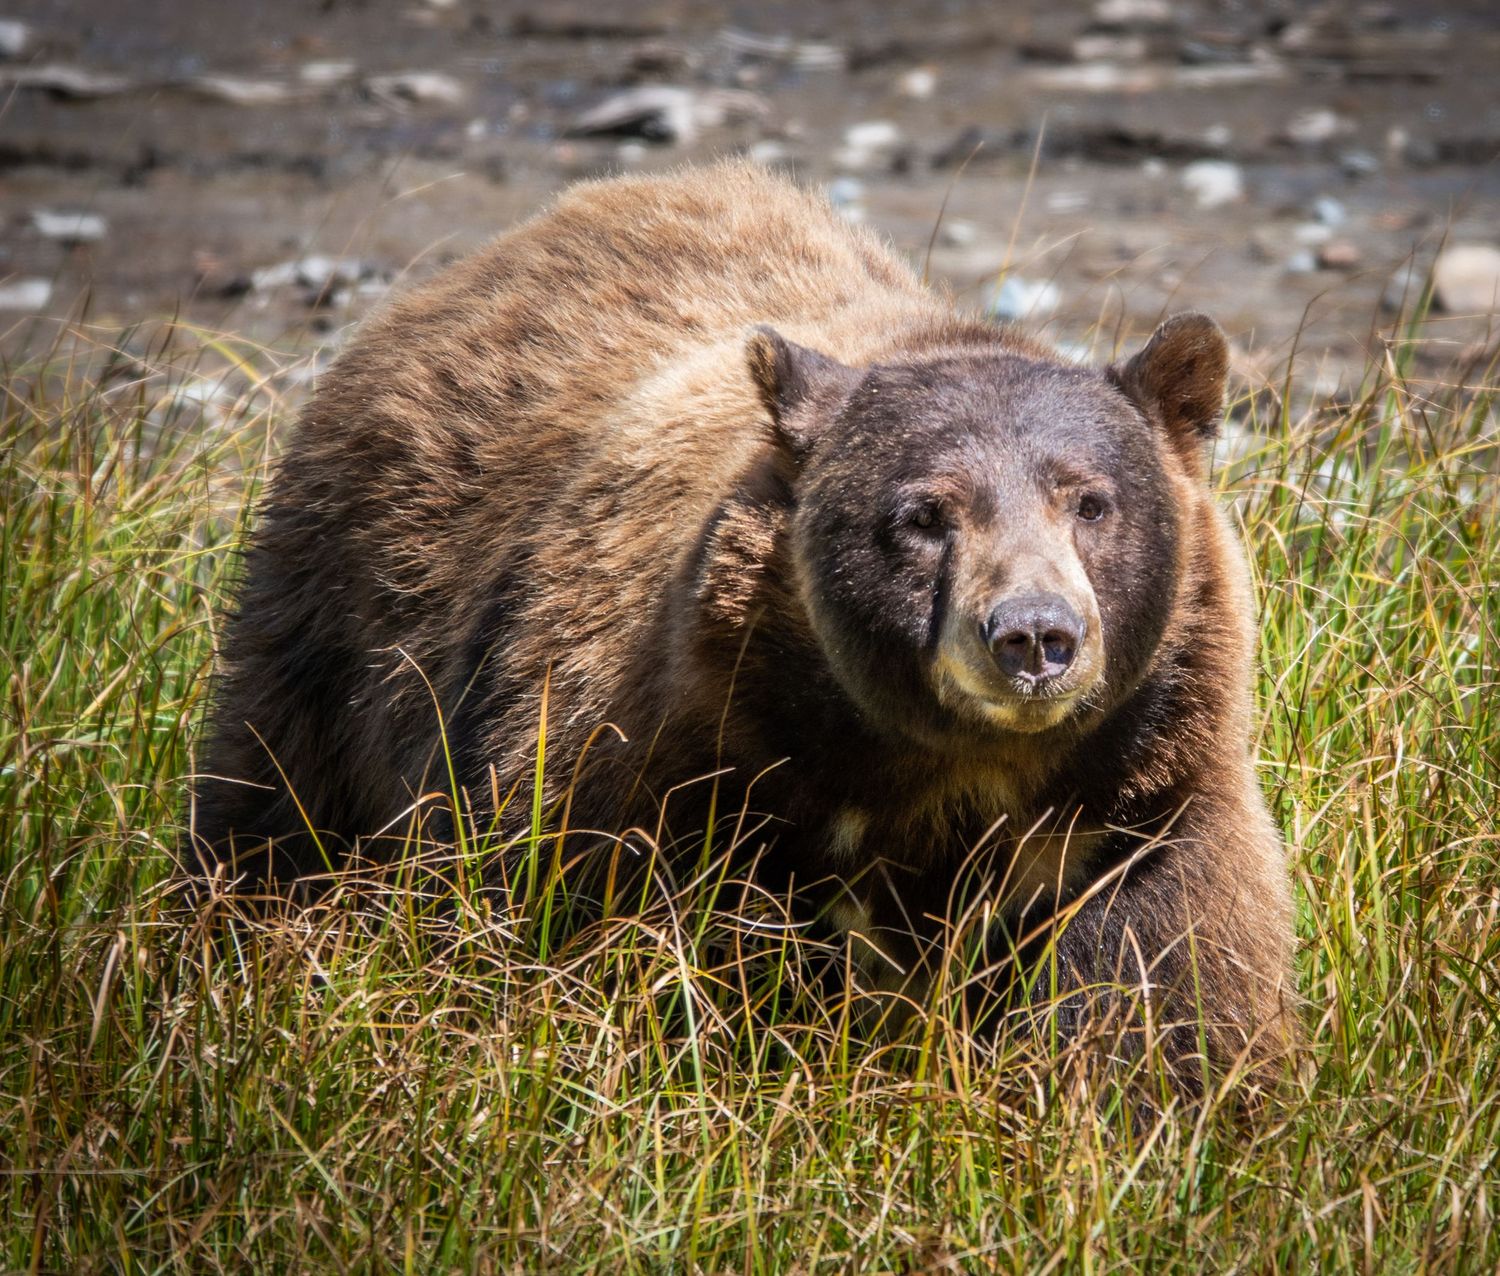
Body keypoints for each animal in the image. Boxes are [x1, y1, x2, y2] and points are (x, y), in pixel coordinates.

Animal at [190, 160, 1296, 1085]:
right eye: (924, 514)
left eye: (1091, 501)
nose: (1033, 635)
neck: (932, 767)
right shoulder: (665, 764)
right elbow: (627, 950)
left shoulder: (1134, 798)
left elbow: (1165, 980)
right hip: (348, 617)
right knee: (276, 804)